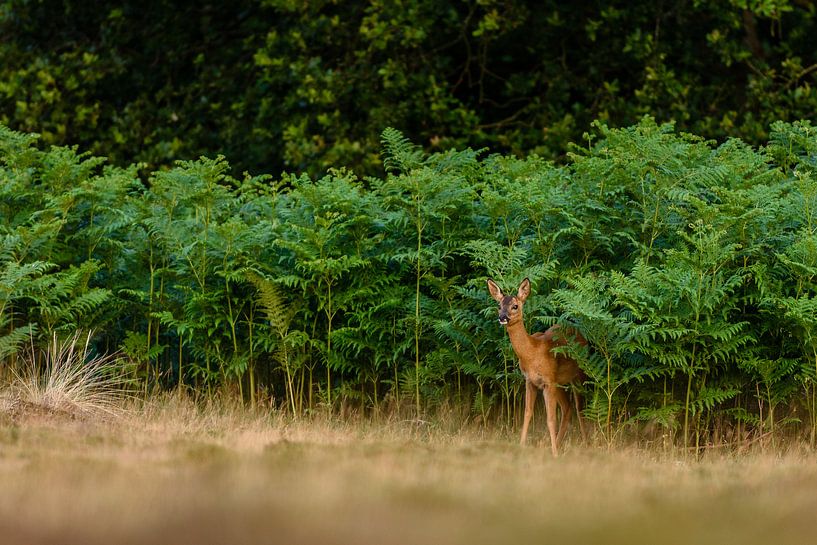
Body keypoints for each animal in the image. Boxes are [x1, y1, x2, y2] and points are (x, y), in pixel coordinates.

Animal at [484, 276, 588, 454]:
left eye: (515, 306)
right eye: (499, 305)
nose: (502, 317)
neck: (533, 352)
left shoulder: (548, 381)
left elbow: (550, 419)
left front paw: (555, 454)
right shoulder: (530, 381)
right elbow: (527, 413)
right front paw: (521, 447)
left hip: (578, 374)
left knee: (579, 407)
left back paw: (585, 443)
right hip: (559, 382)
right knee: (567, 408)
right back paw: (557, 443)